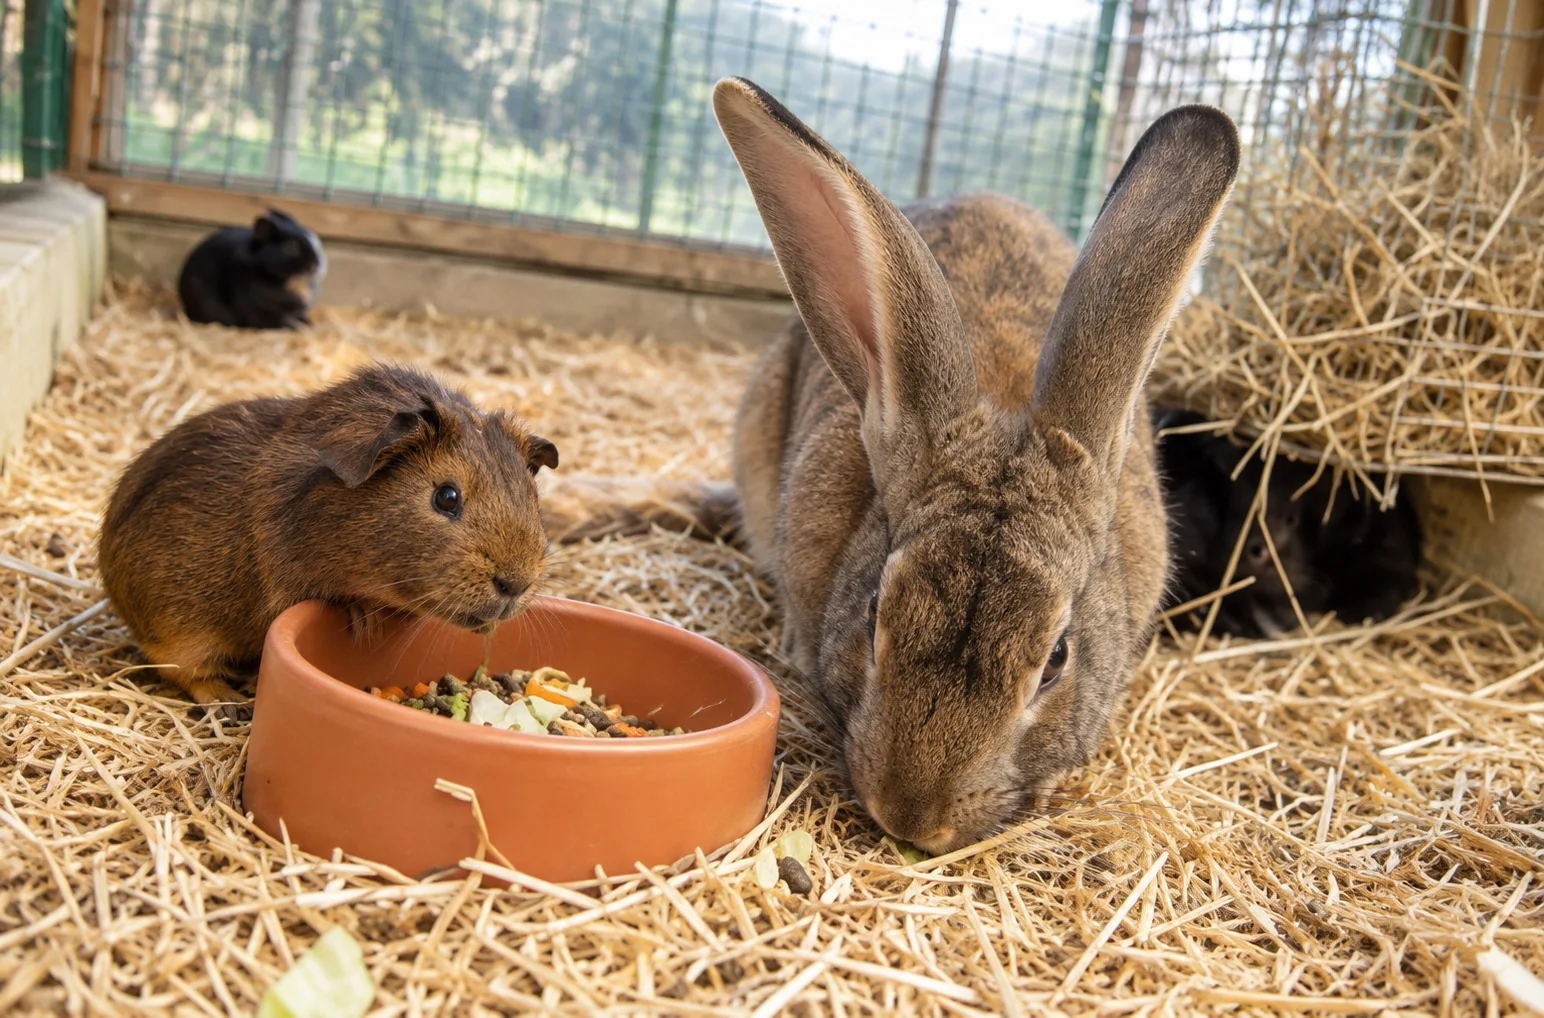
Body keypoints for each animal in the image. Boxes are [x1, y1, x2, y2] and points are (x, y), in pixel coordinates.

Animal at [99, 364, 559, 709]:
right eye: (446, 496)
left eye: (531, 494)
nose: (515, 584)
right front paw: (364, 619)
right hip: (179, 630)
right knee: (183, 670)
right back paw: (230, 702)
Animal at [177, 208, 327, 330]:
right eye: (291, 247)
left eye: (315, 240)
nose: (317, 264)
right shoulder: (261, 314)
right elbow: (285, 322)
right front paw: (302, 328)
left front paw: (311, 325)